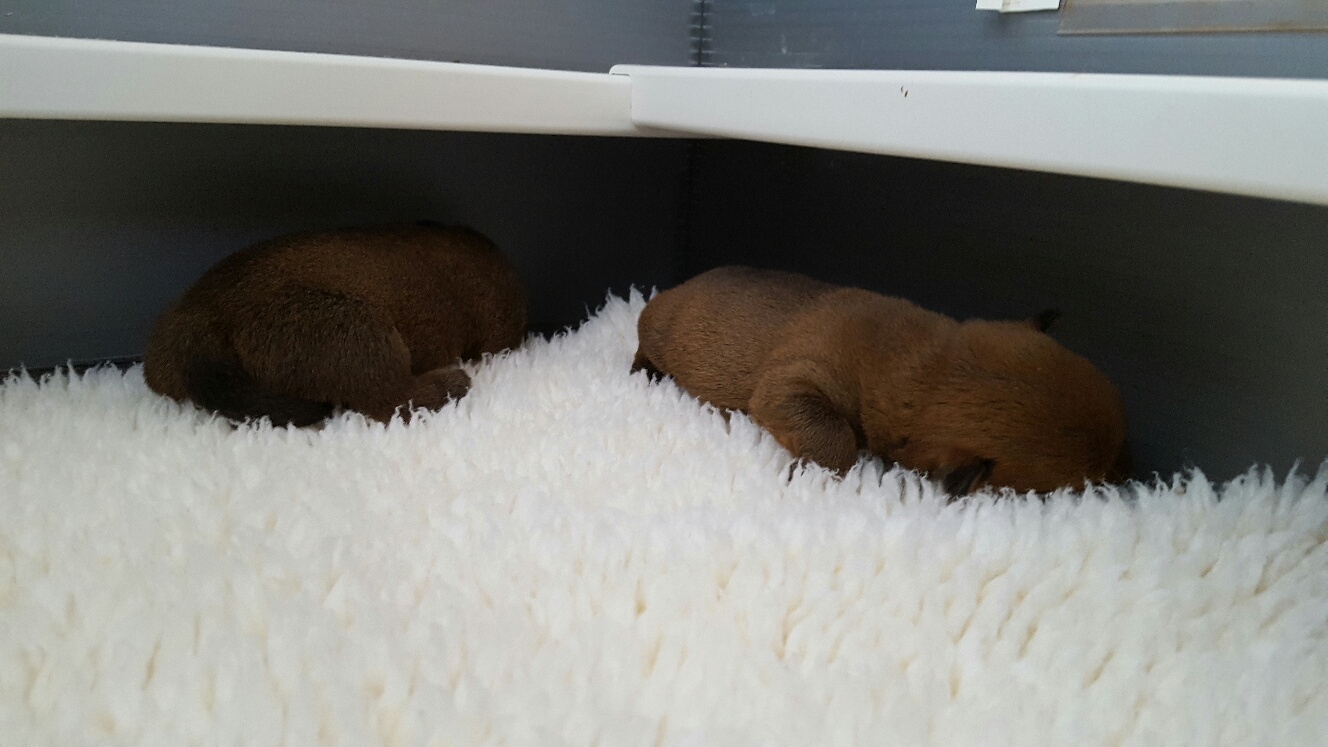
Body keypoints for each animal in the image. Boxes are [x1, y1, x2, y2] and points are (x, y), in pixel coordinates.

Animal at [632, 266, 1131, 495]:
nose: (1124, 480)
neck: (923, 364)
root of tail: (679, 286)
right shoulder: (790, 385)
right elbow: (837, 439)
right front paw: (812, 475)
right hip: (656, 328)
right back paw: (645, 374)